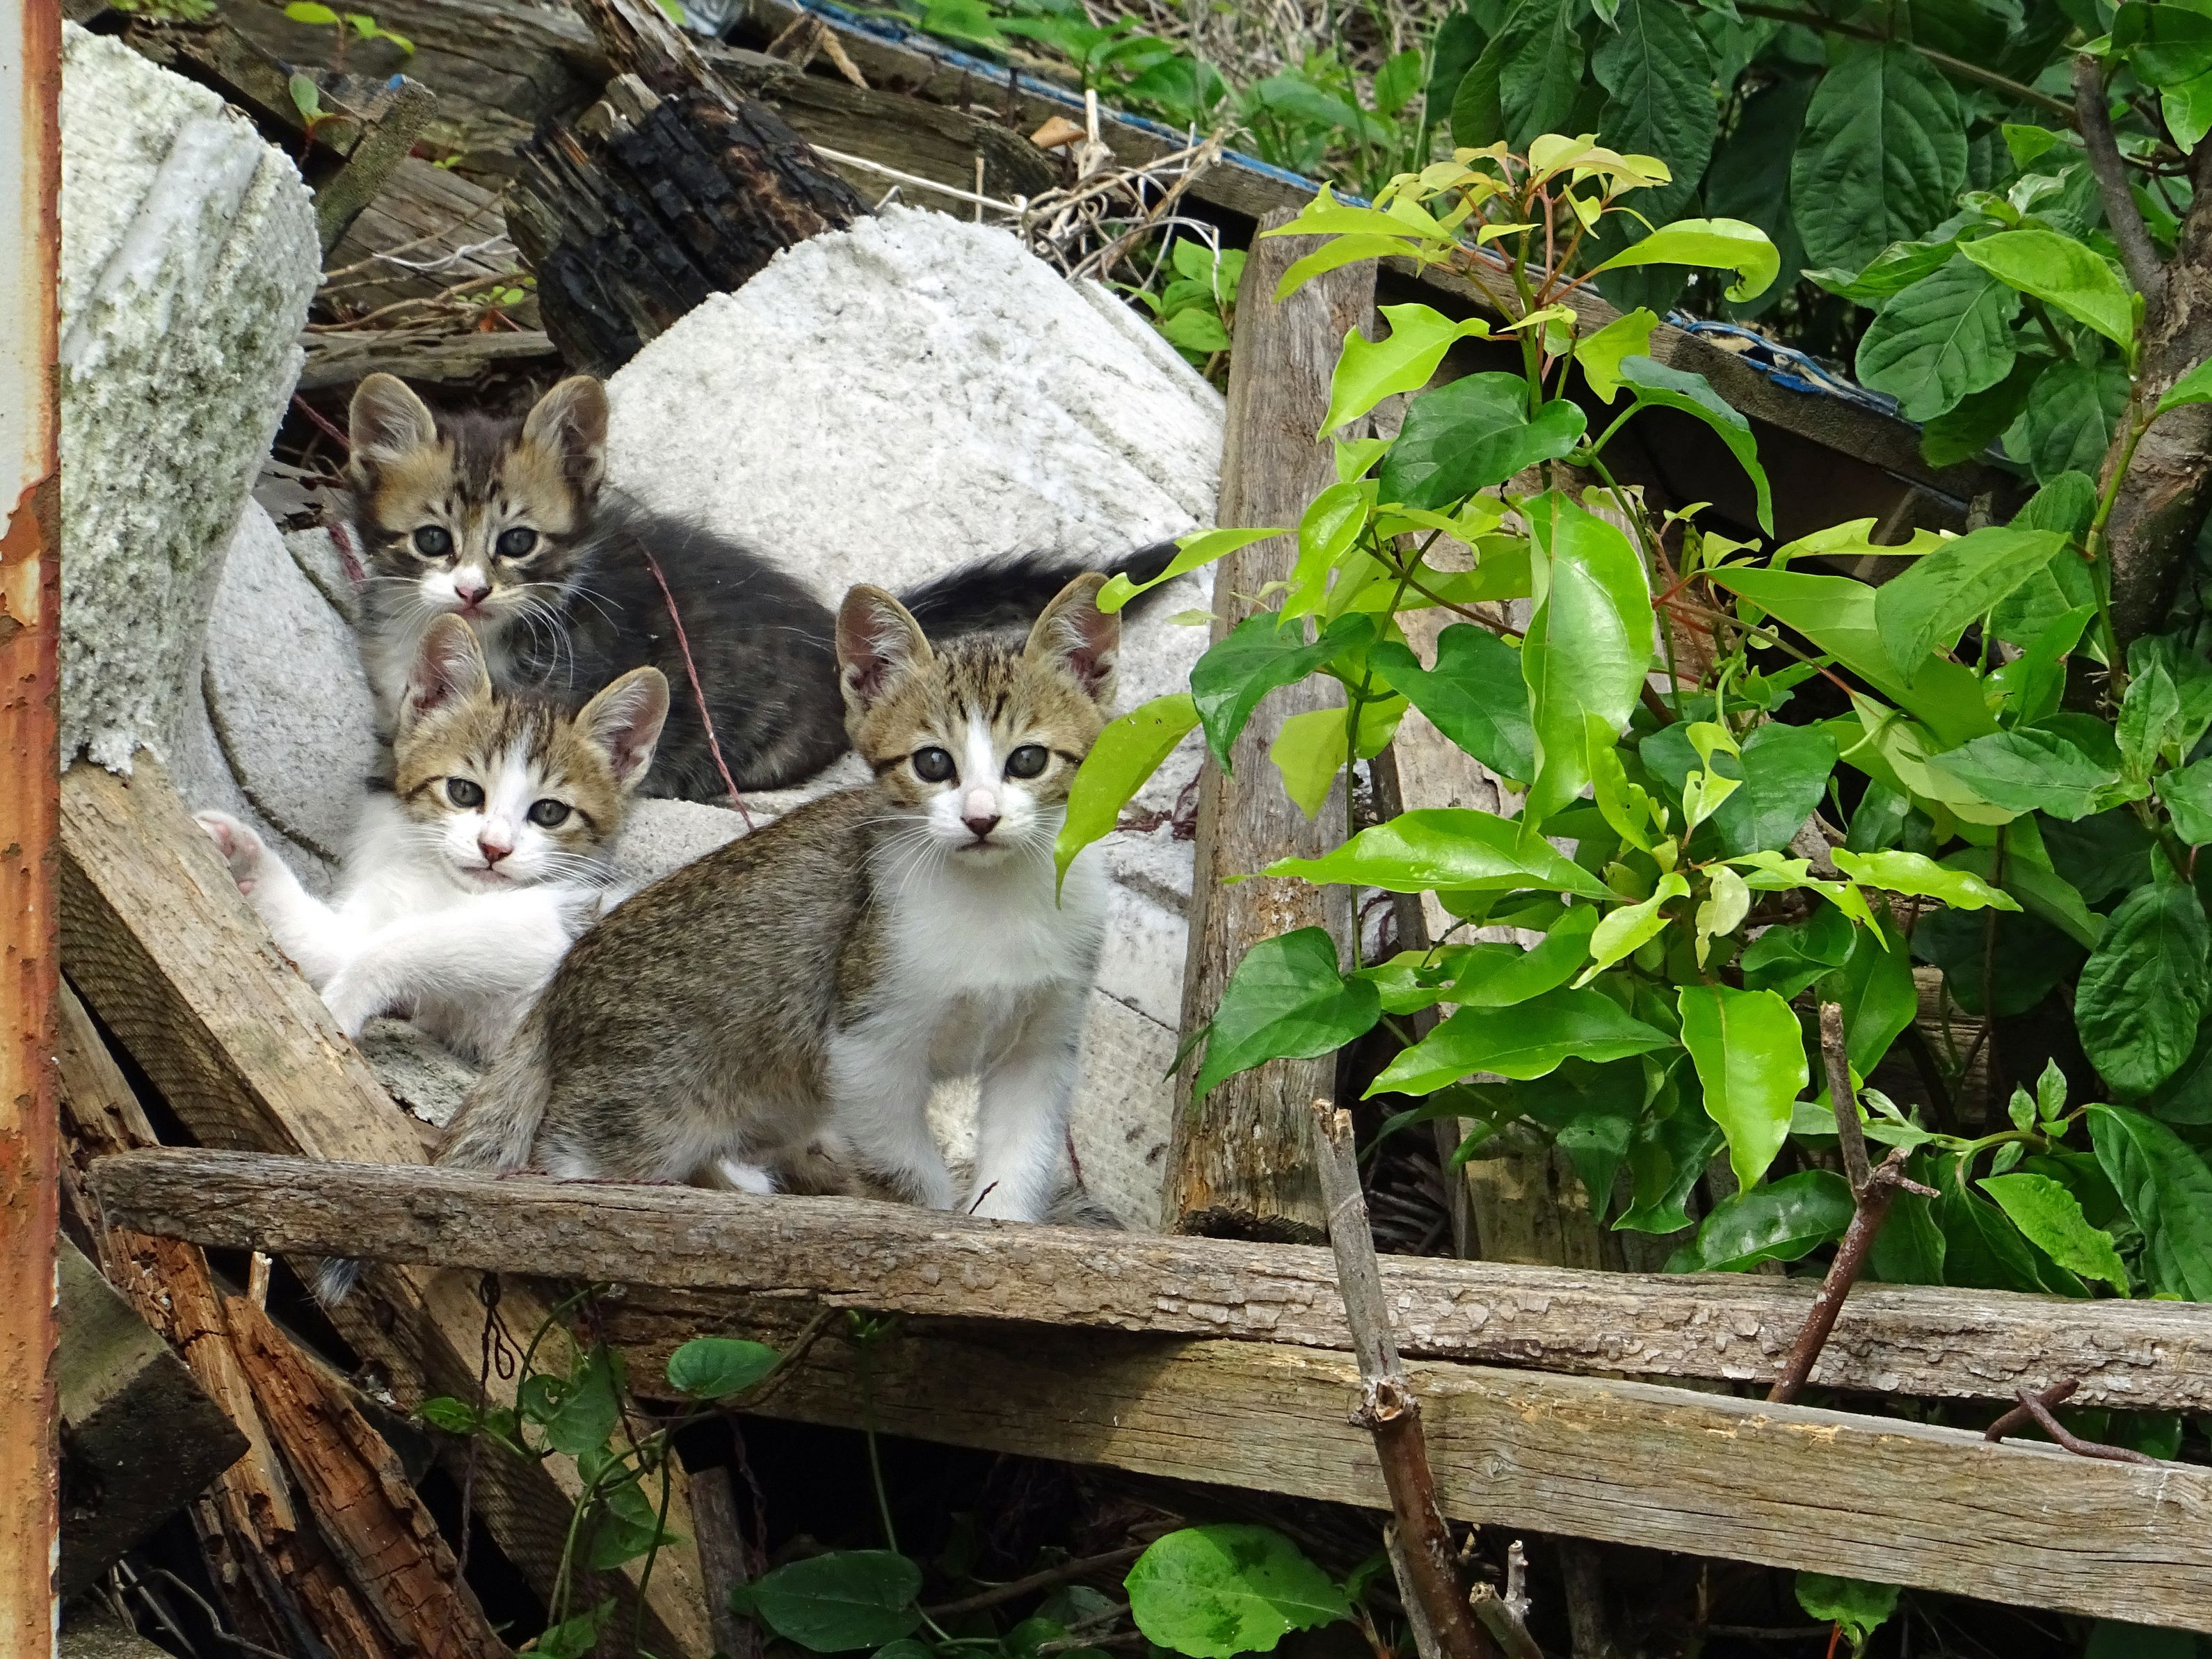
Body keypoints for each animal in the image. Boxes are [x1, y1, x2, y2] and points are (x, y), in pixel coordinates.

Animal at [199, 612, 668, 1063]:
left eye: (550, 813)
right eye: (463, 791)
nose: (494, 848)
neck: (450, 889)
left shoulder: (555, 927)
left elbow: (398, 945)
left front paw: (338, 1008)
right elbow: (340, 943)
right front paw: (250, 862)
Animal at [437, 571, 1118, 1225]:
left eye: (1027, 760)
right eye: (932, 763)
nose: (982, 818)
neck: (995, 901)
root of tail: (565, 978)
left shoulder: (1044, 1040)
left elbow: (1021, 1157)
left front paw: (1005, 1220)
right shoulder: (866, 1041)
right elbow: (907, 1168)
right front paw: (931, 1211)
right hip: (637, 1114)